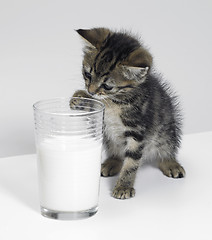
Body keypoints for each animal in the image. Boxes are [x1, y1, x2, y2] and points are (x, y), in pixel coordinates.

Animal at [71, 27, 186, 199]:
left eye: (107, 86)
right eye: (88, 74)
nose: (90, 91)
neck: (117, 100)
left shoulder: (136, 132)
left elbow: (131, 162)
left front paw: (123, 186)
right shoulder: (102, 116)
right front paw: (79, 97)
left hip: (166, 132)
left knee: (166, 149)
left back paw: (170, 163)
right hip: (110, 139)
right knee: (117, 152)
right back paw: (112, 162)